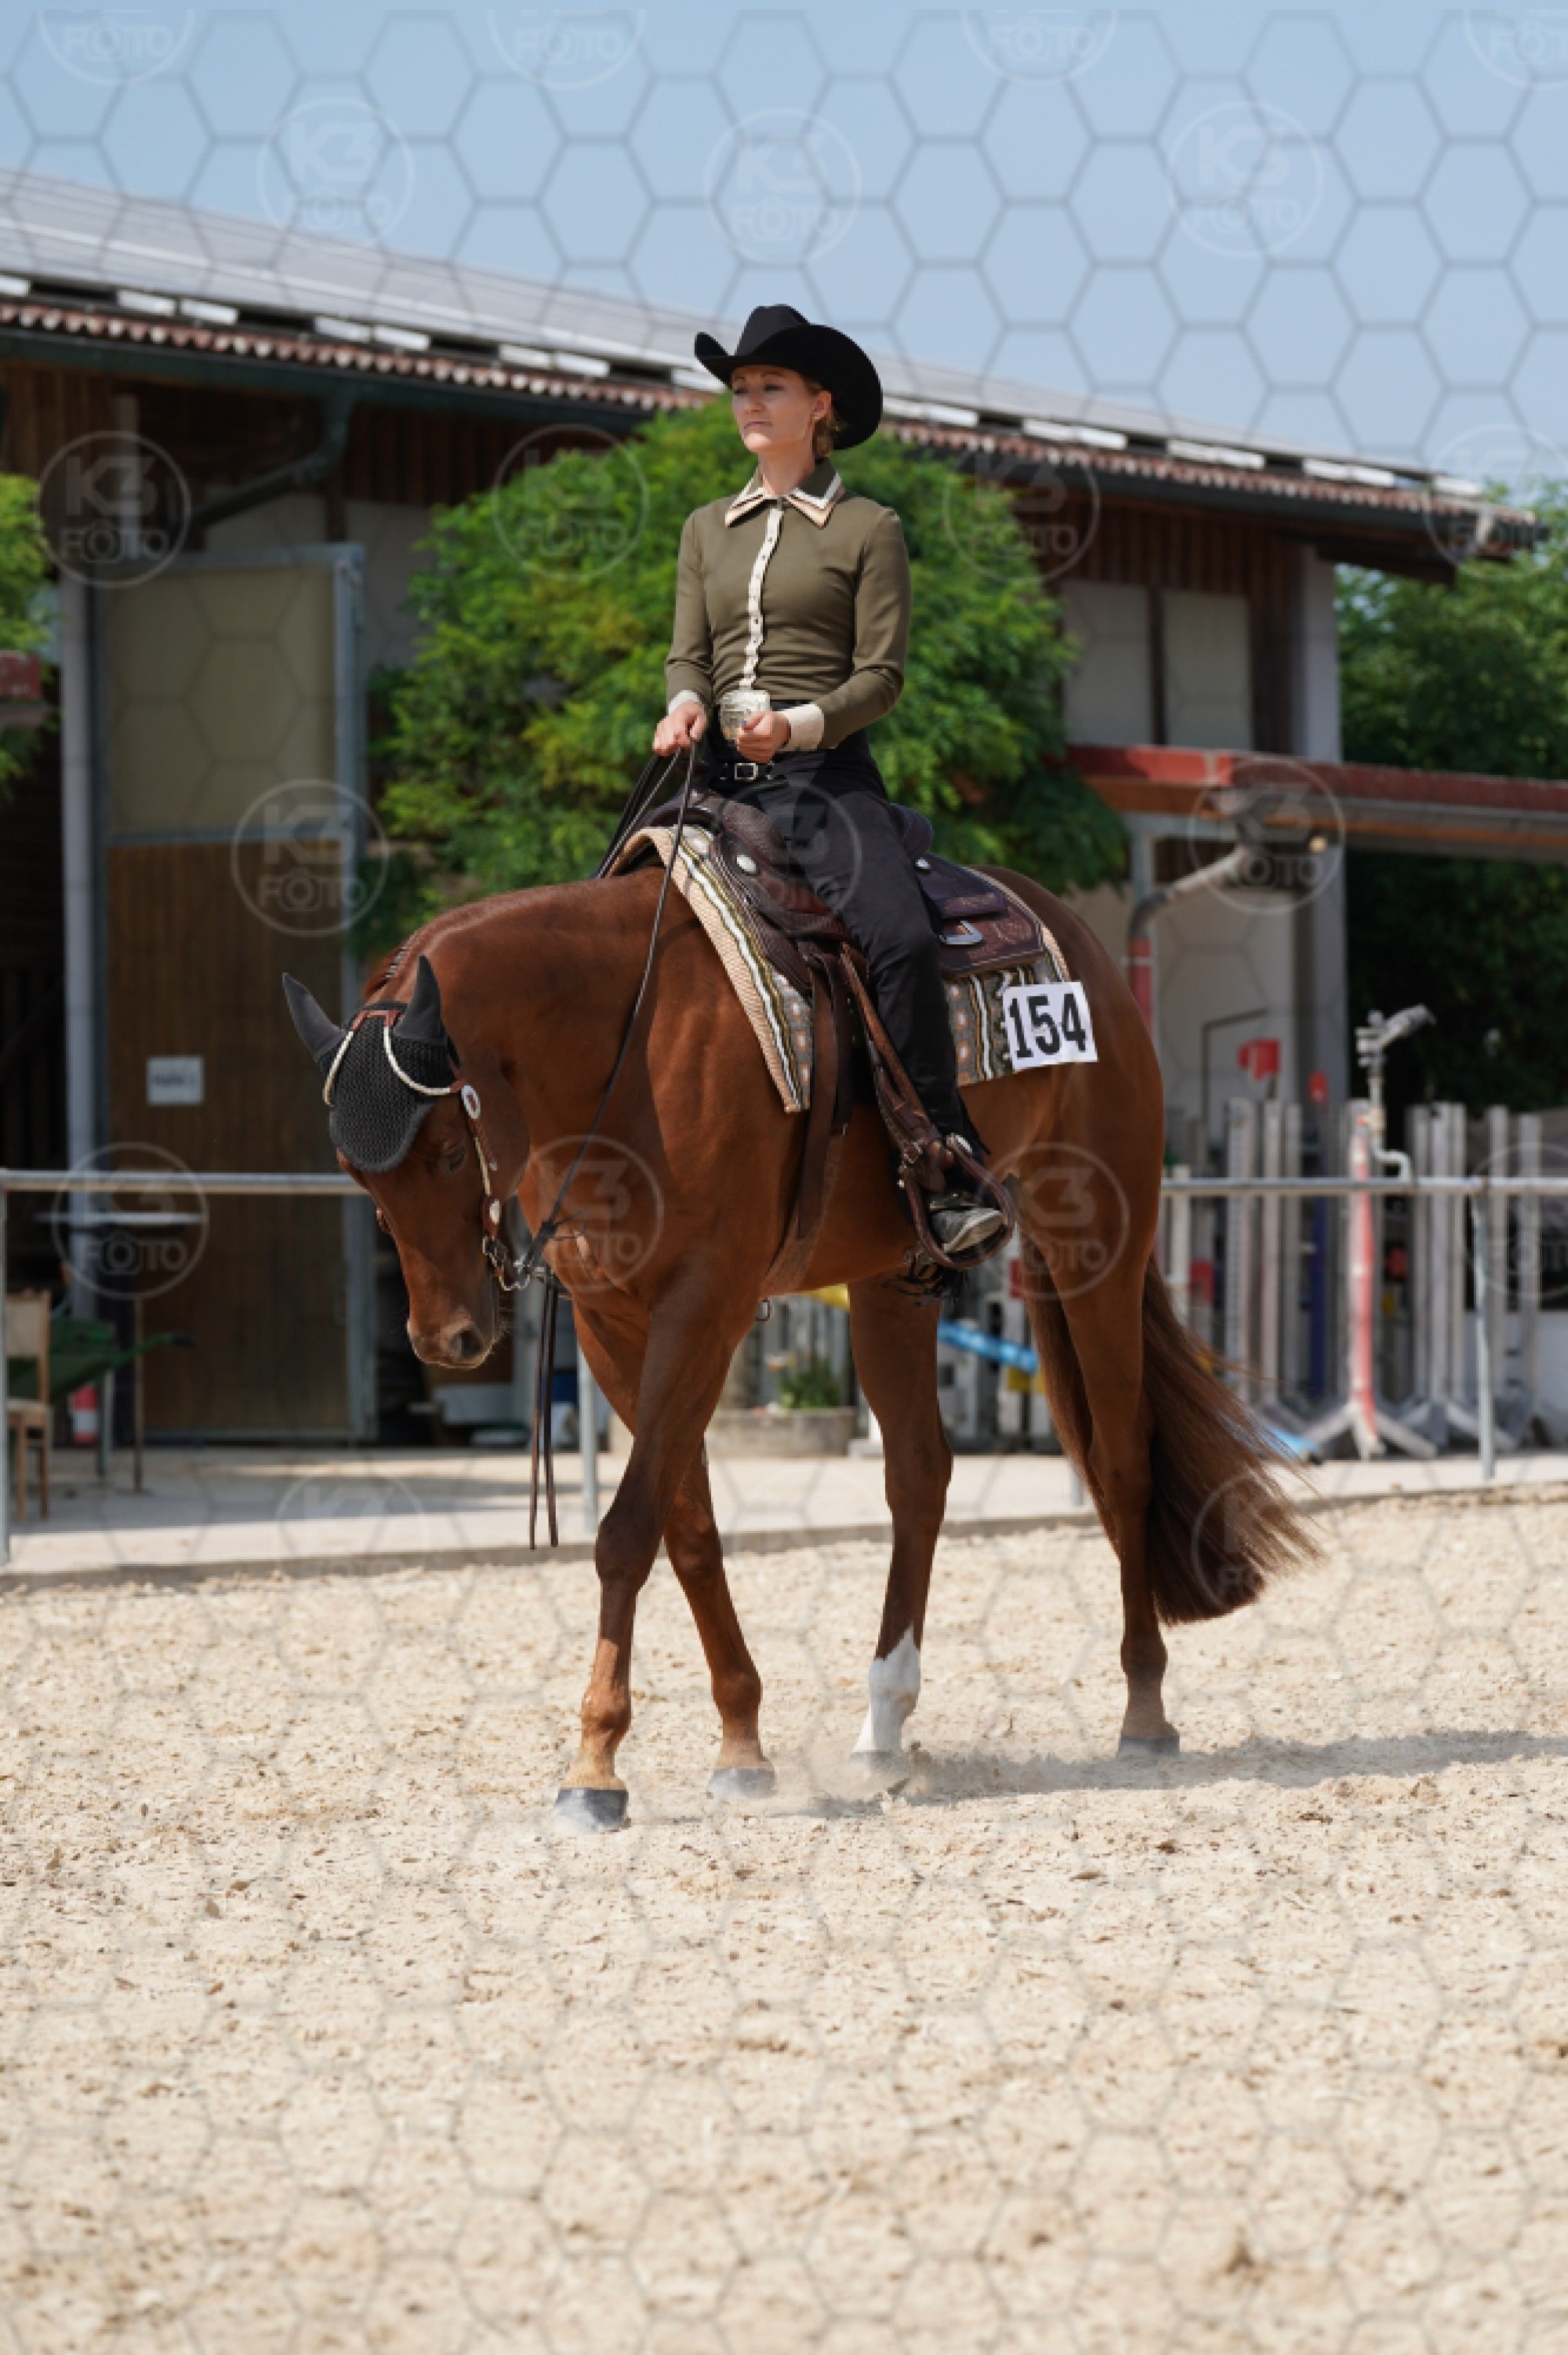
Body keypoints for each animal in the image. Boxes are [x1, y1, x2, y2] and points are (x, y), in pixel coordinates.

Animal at [283, 856, 1312, 1828]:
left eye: (450, 1152)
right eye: (354, 1172)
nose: (447, 1337)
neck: (625, 1042)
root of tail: (1079, 940)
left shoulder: (706, 1305)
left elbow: (626, 1531)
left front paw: (595, 1767)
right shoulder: (613, 1322)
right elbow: (687, 1530)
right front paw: (740, 1745)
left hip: (1094, 1240)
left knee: (1123, 1460)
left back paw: (1143, 1711)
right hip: (893, 1279)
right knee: (918, 1473)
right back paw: (883, 1724)